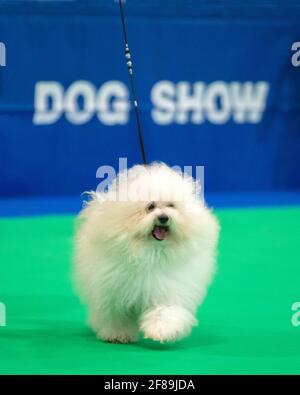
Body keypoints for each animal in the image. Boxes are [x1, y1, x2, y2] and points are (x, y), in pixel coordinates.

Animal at [74, 162, 219, 344]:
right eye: (150, 207)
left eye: (171, 205)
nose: (163, 217)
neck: (152, 253)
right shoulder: (114, 291)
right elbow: (117, 315)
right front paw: (118, 334)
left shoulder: (168, 285)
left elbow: (165, 309)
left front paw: (162, 330)